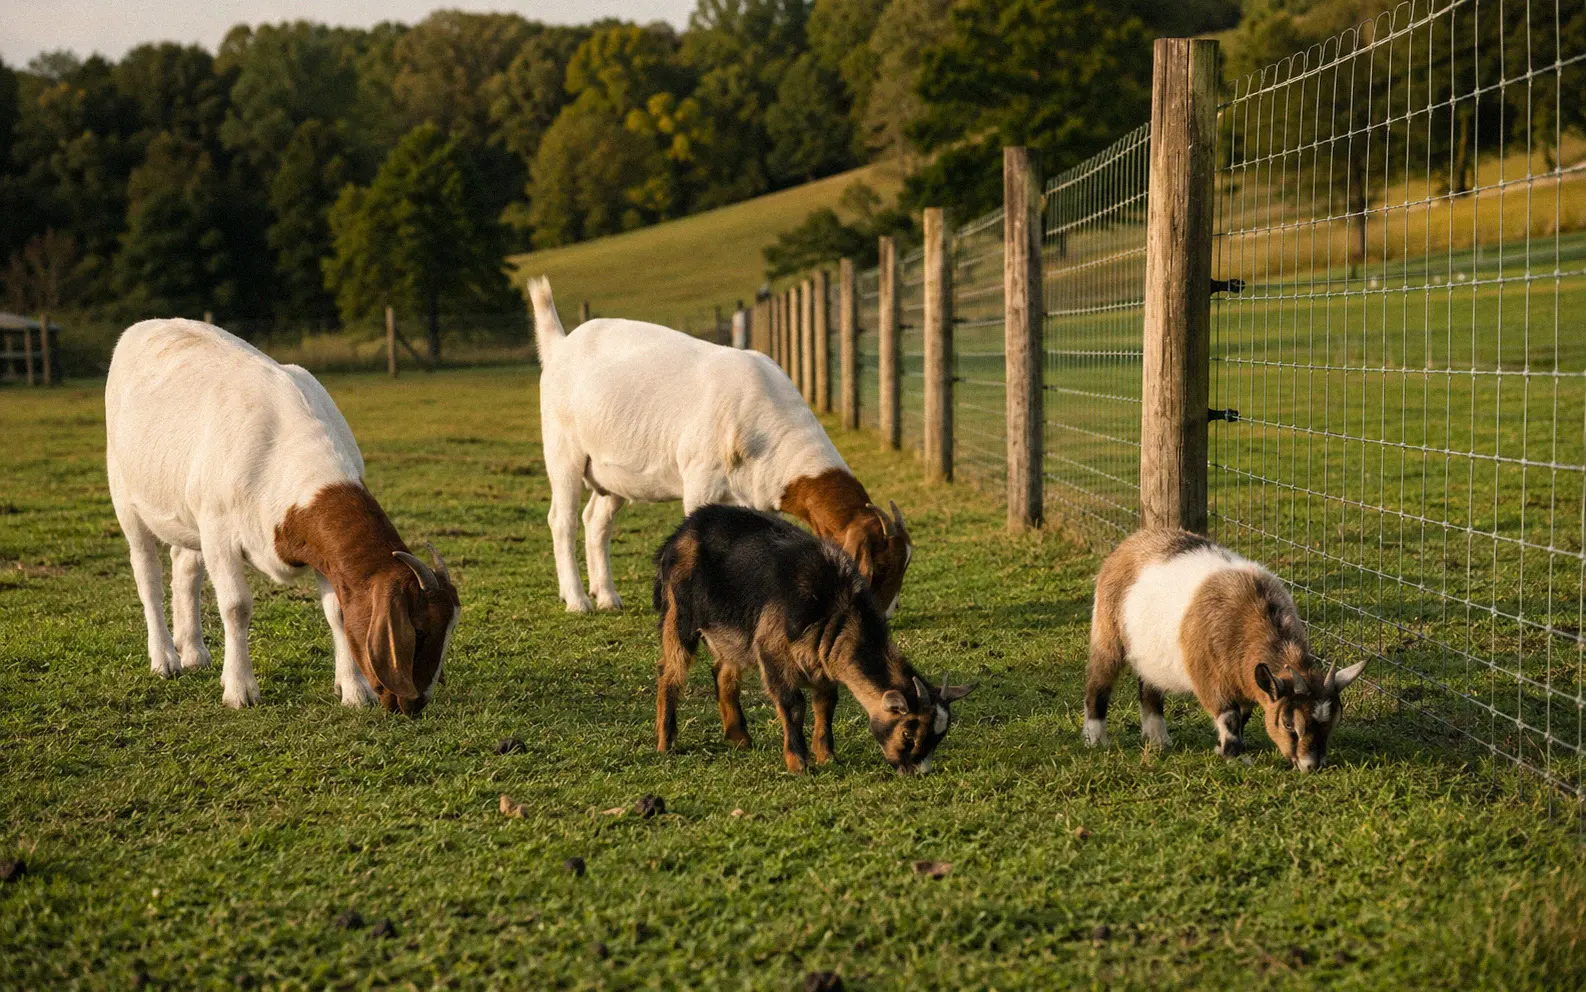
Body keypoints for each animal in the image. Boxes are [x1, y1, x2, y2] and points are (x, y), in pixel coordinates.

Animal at [105, 319, 460, 714]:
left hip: (187, 511)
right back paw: (165, 658)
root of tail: (147, 325)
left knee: (185, 567)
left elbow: (338, 612)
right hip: (125, 494)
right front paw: (240, 689)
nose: (416, 702)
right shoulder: (217, 531)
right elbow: (236, 606)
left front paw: (353, 691)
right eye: (419, 630)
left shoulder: (320, 549)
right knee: (147, 575)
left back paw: (194, 651)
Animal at [530, 276, 911, 616]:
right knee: (562, 520)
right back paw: (578, 601)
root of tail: (560, 345)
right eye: (880, 565)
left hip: (613, 473)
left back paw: (607, 596)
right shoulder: (701, 480)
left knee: (596, 520)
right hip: (563, 450)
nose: (886, 613)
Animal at [653, 505, 972, 774]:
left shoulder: (823, 661)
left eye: (939, 737)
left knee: (722, 671)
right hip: (679, 613)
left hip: (733, 631)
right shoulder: (772, 648)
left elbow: (825, 705)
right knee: (670, 673)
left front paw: (827, 756)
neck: (834, 606)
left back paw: (739, 737)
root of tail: (681, 531)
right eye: (908, 732)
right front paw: (799, 763)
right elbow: (793, 704)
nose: (919, 772)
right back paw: (667, 743)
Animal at [1084, 529, 1367, 770]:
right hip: (1107, 633)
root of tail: (1130, 543)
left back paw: (1159, 739)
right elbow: (1229, 716)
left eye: (1333, 723)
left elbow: (1242, 716)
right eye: (1288, 724)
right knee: (1099, 683)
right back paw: (1095, 739)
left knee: (1149, 687)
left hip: (1149, 655)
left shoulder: (1248, 682)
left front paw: (1224, 749)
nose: (1312, 765)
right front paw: (1235, 756)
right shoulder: (1209, 679)